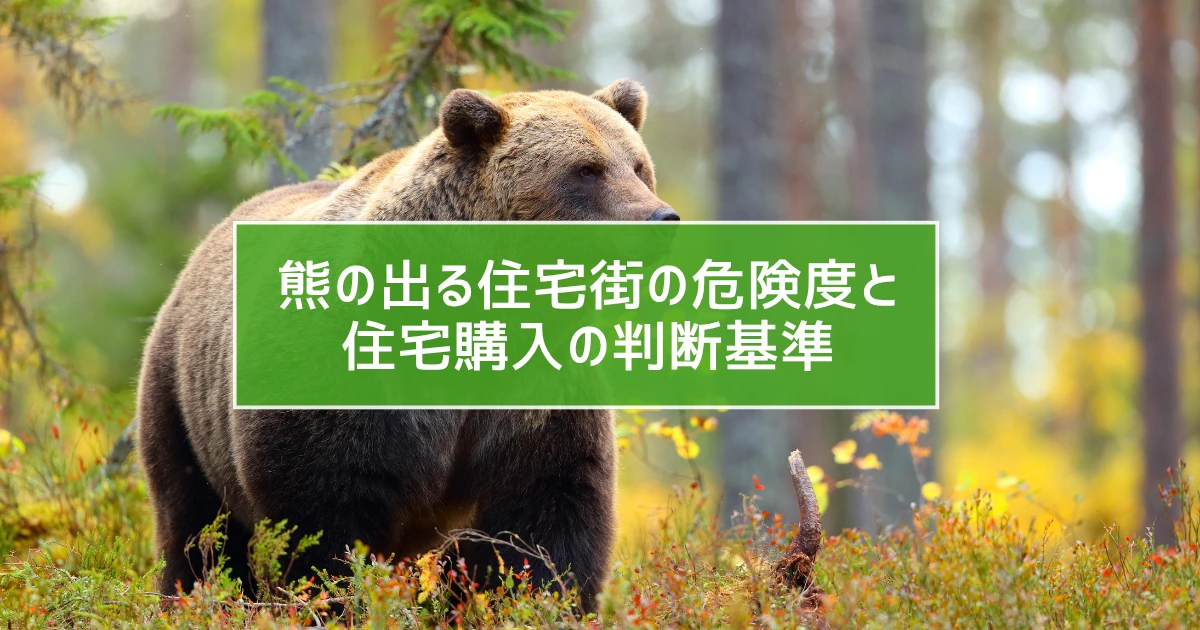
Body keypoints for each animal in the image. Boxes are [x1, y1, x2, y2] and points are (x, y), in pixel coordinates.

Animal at [136, 78, 676, 613]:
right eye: (586, 170)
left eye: (637, 166)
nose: (661, 218)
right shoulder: (350, 387)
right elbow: (325, 515)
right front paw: (335, 598)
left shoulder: (535, 398)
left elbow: (548, 510)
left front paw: (540, 601)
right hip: (182, 396)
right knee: (196, 524)